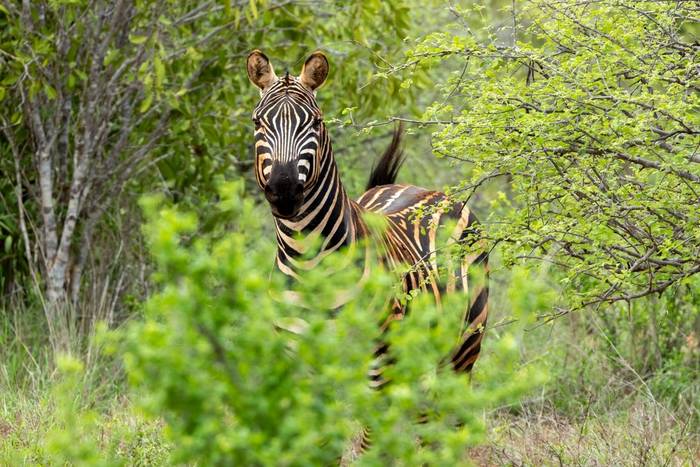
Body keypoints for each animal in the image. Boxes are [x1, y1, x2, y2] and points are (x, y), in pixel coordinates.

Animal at [246, 49, 489, 377]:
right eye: (257, 121)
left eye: (316, 122)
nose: (284, 191)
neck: (308, 261)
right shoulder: (294, 362)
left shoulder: (379, 363)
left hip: (464, 350)